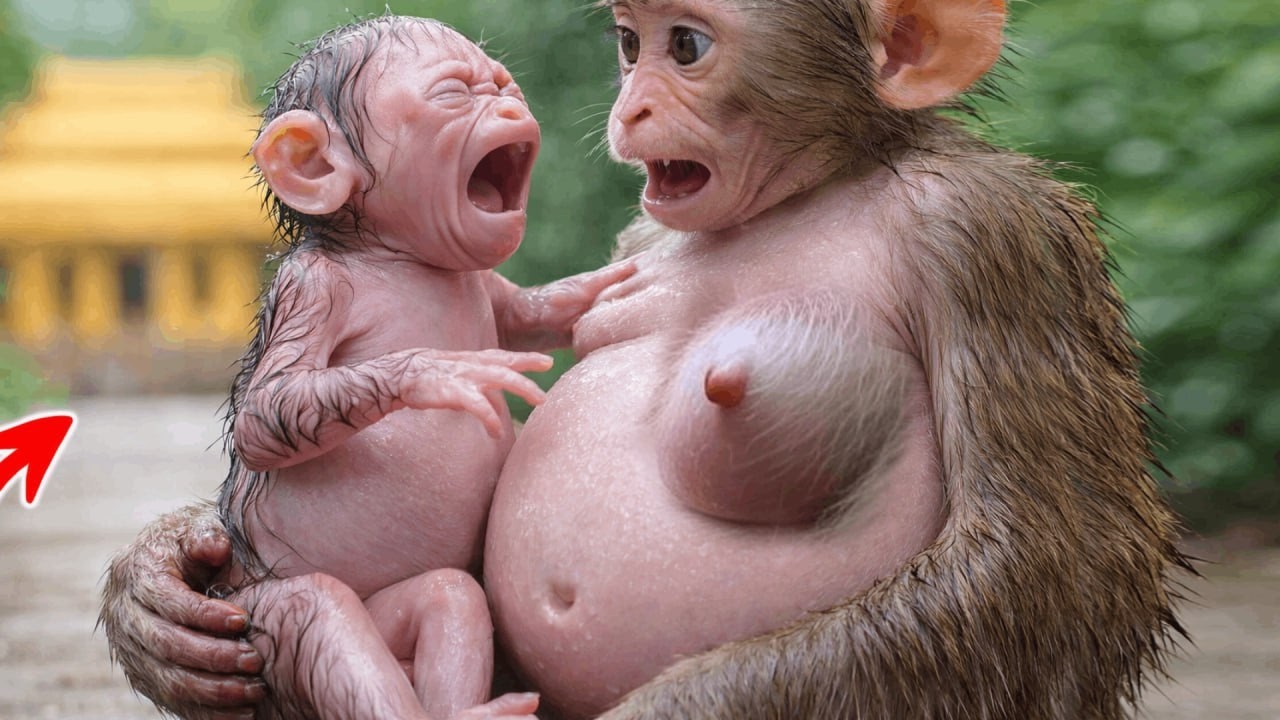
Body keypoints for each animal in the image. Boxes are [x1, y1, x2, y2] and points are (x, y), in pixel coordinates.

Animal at [100, 1, 1191, 719]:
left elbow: (1047, 567)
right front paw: (159, 591)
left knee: (447, 599)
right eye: (639, 44)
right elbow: (273, 410)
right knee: (322, 614)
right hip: (272, 604)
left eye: (687, 48)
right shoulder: (316, 289)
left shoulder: (988, 236)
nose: (627, 109)